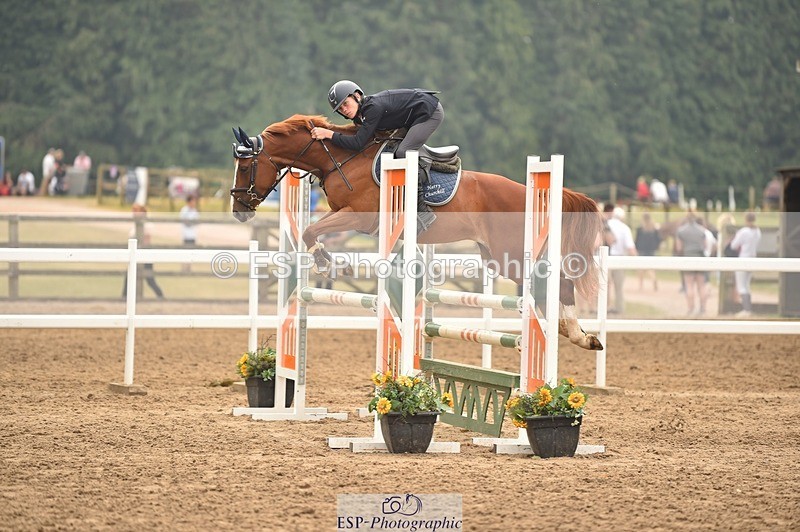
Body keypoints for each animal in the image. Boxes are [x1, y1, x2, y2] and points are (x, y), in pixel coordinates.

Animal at [230, 114, 604, 350]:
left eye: (246, 167)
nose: (238, 210)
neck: (341, 158)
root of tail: (530, 191)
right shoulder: (343, 215)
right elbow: (314, 230)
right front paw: (330, 261)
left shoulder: (358, 217)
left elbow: (311, 232)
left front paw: (328, 263)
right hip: (498, 258)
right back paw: (567, 329)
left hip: (510, 252)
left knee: (559, 281)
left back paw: (579, 335)